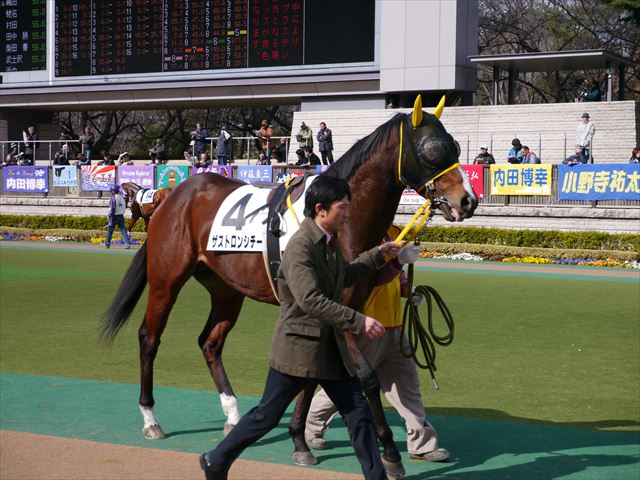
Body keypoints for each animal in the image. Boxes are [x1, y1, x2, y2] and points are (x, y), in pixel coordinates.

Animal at [101, 97, 477, 478]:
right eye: (433, 149)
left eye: (456, 146)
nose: (468, 201)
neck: (341, 225)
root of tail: (172, 197)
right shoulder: (337, 310)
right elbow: (365, 378)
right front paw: (388, 453)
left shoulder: (337, 309)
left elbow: (311, 376)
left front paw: (300, 441)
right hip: (167, 280)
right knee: (149, 337)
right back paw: (151, 419)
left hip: (226, 289)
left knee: (210, 342)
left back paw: (233, 414)